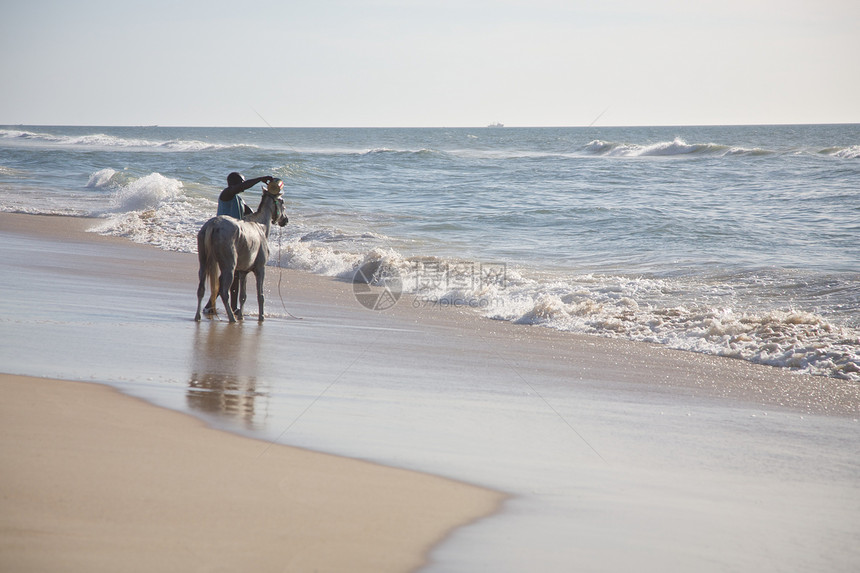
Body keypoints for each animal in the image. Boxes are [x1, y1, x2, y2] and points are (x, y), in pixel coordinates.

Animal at [195, 187, 288, 324]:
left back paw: (198, 316)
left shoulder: (243, 272)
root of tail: (213, 224)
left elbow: (243, 296)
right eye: (282, 202)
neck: (261, 227)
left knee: (201, 288)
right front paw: (261, 316)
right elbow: (260, 295)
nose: (285, 220)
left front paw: (241, 316)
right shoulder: (260, 268)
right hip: (229, 267)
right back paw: (231, 317)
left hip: (203, 261)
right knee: (224, 292)